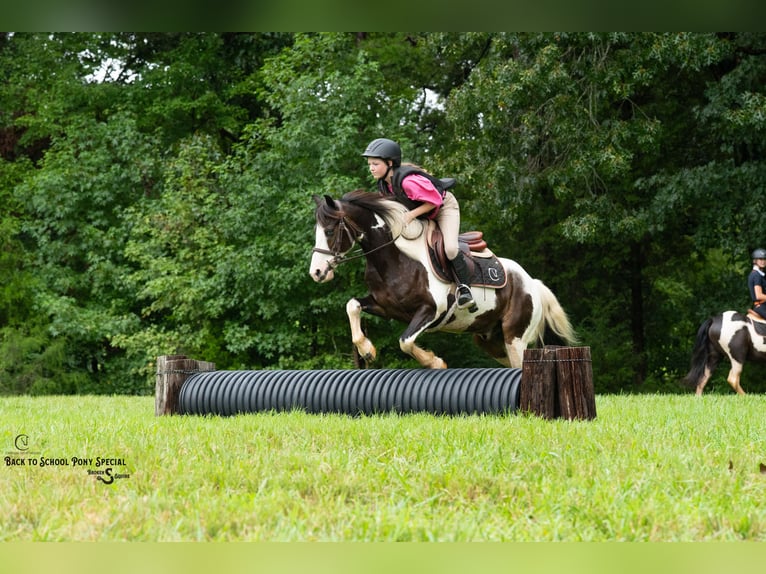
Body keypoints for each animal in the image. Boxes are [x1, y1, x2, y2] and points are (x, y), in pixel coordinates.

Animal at [309, 190, 578, 369]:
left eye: (329, 231)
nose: (317, 272)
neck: (394, 258)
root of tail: (532, 282)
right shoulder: (385, 307)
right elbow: (352, 305)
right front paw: (367, 350)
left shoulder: (431, 310)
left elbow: (405, 341)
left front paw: (435, 362)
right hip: (490, 339)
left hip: (515, 337)